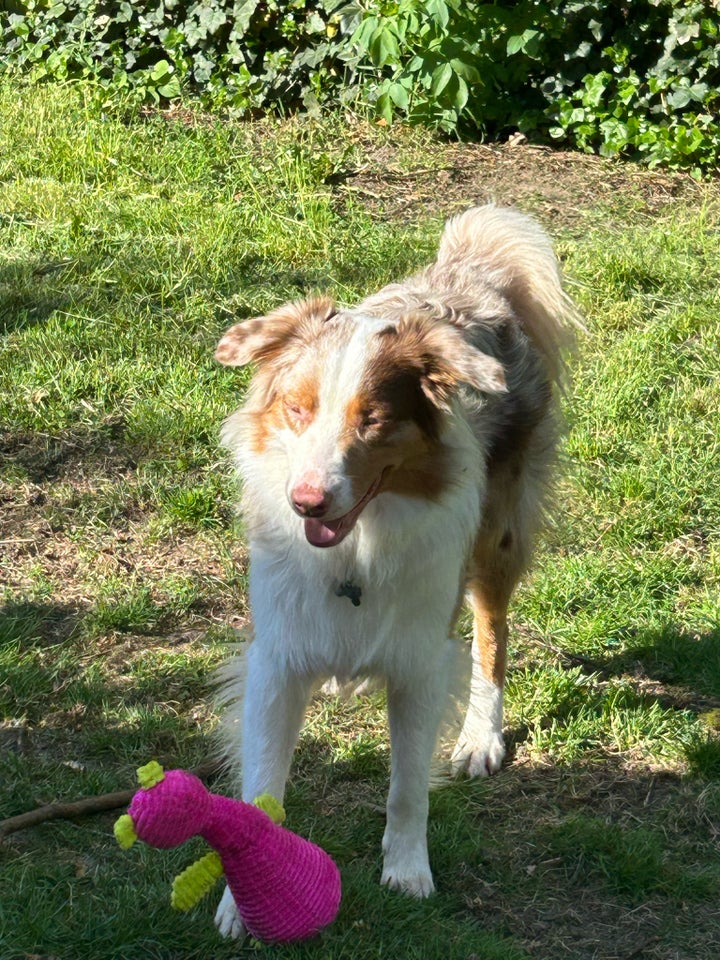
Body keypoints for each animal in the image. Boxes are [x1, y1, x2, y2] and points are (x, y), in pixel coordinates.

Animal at [211, 204, 576, 936]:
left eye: (373, 421)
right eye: (297, 409)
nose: (307, 501)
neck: (357, 549)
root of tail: (474, 271)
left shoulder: (417, 661)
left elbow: (408, 787)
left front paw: (408, 872)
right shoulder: (276, 658)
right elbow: (262, 786)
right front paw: (242, 900)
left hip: (496, 534)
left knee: (492, 635)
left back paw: (480, 737)